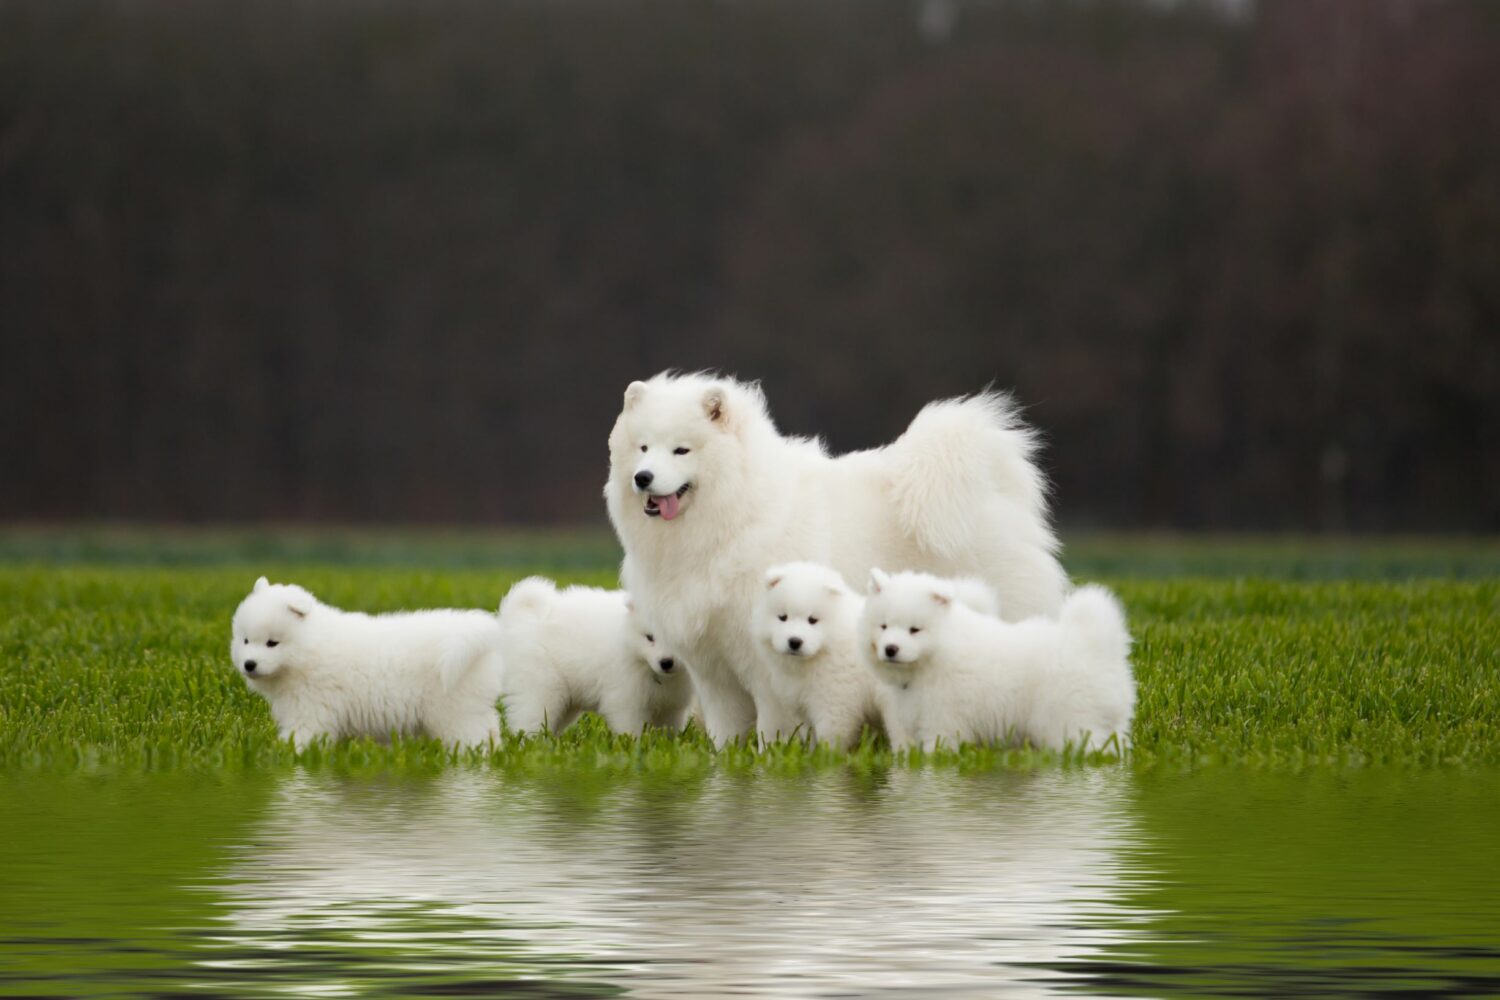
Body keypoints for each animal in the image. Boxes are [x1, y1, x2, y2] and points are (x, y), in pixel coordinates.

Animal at [225, 575, 501, 746]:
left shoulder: (311, 709)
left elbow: (302, 738)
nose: (249, 664)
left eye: (272, 643)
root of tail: (481, 631)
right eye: (245, 640)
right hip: (471, 708)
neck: (309, 648)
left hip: (456, 712)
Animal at [498, 578, 696, 734]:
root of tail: (526, 619)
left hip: (566, 701)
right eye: (650, 637)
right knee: (529, 719)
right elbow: (630, 729)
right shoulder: (625, 700)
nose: (666, 662)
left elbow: (669, 730)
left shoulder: (672, 708)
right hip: (541, 687)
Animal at [600, 370, 1068, 743]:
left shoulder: (767, 660)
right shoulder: (712, 665)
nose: (643, 478)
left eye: (681, 450)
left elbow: (773, 727)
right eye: (643, 448)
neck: (734, 514)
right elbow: (725, 731)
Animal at [864, 566, 1128, 755]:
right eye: (884, 626)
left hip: (1069, 719)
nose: (890, 649)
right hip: (1111, 721)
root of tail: (1092, 644)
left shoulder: (943, 721)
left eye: (914, 630)